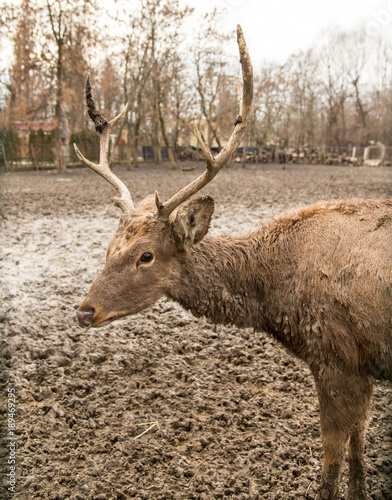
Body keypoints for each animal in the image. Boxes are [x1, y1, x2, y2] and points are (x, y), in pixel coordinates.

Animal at [74, 26, 392, 500]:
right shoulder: (362, 367)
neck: (276, 300)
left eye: (146, 255)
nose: (84, 311)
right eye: (109, 246)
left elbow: (332, 463)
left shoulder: (336, 357)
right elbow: (358, 447)